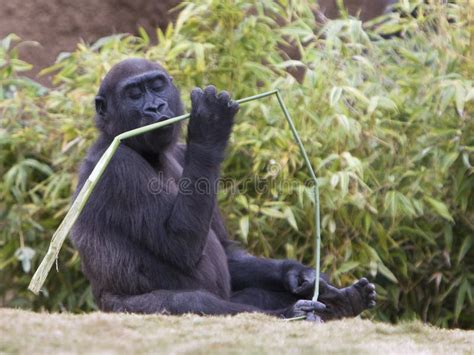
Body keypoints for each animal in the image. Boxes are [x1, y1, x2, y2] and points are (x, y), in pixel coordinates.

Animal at [71, 59, 374, 322]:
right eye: (134, 94)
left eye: (157, 87)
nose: (155, 108)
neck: (125, 142)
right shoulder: (117, 169)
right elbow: (180, 245)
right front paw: (210, 123)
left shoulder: (179, 152)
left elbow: (227, 250)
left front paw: (300, 275)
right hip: (117, 309)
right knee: (192, 302)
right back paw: (292, 313)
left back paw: (339, 302)